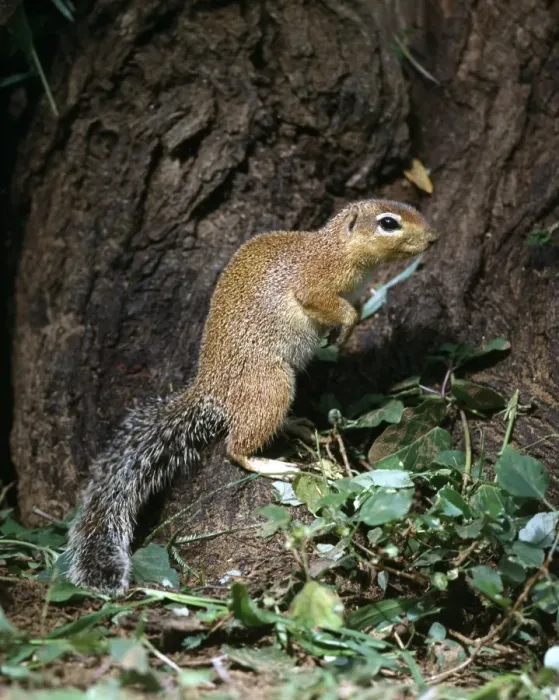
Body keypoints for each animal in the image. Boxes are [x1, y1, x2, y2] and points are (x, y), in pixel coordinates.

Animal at [66, 199, 437, 595]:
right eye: (388, 223)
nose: (433, 238)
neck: (336, 246)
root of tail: (212, 390)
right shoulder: (315, 280)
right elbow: (330, 305)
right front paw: (347, 327)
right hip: (270, 385)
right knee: (235, 448)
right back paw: (272, 464)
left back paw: (296, 425)